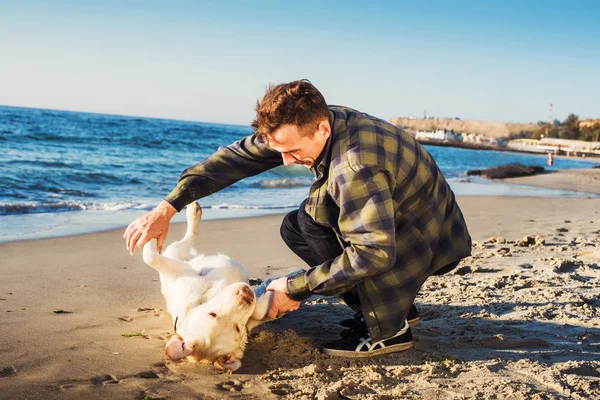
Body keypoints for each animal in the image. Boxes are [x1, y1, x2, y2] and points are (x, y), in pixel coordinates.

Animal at [142, 203, 270, 372]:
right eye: (212, 314)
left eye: (237, 327)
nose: (246, 294)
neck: (207, 296)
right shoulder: (181, 271)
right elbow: (150, 257)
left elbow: (260, 311)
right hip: (178, 256)